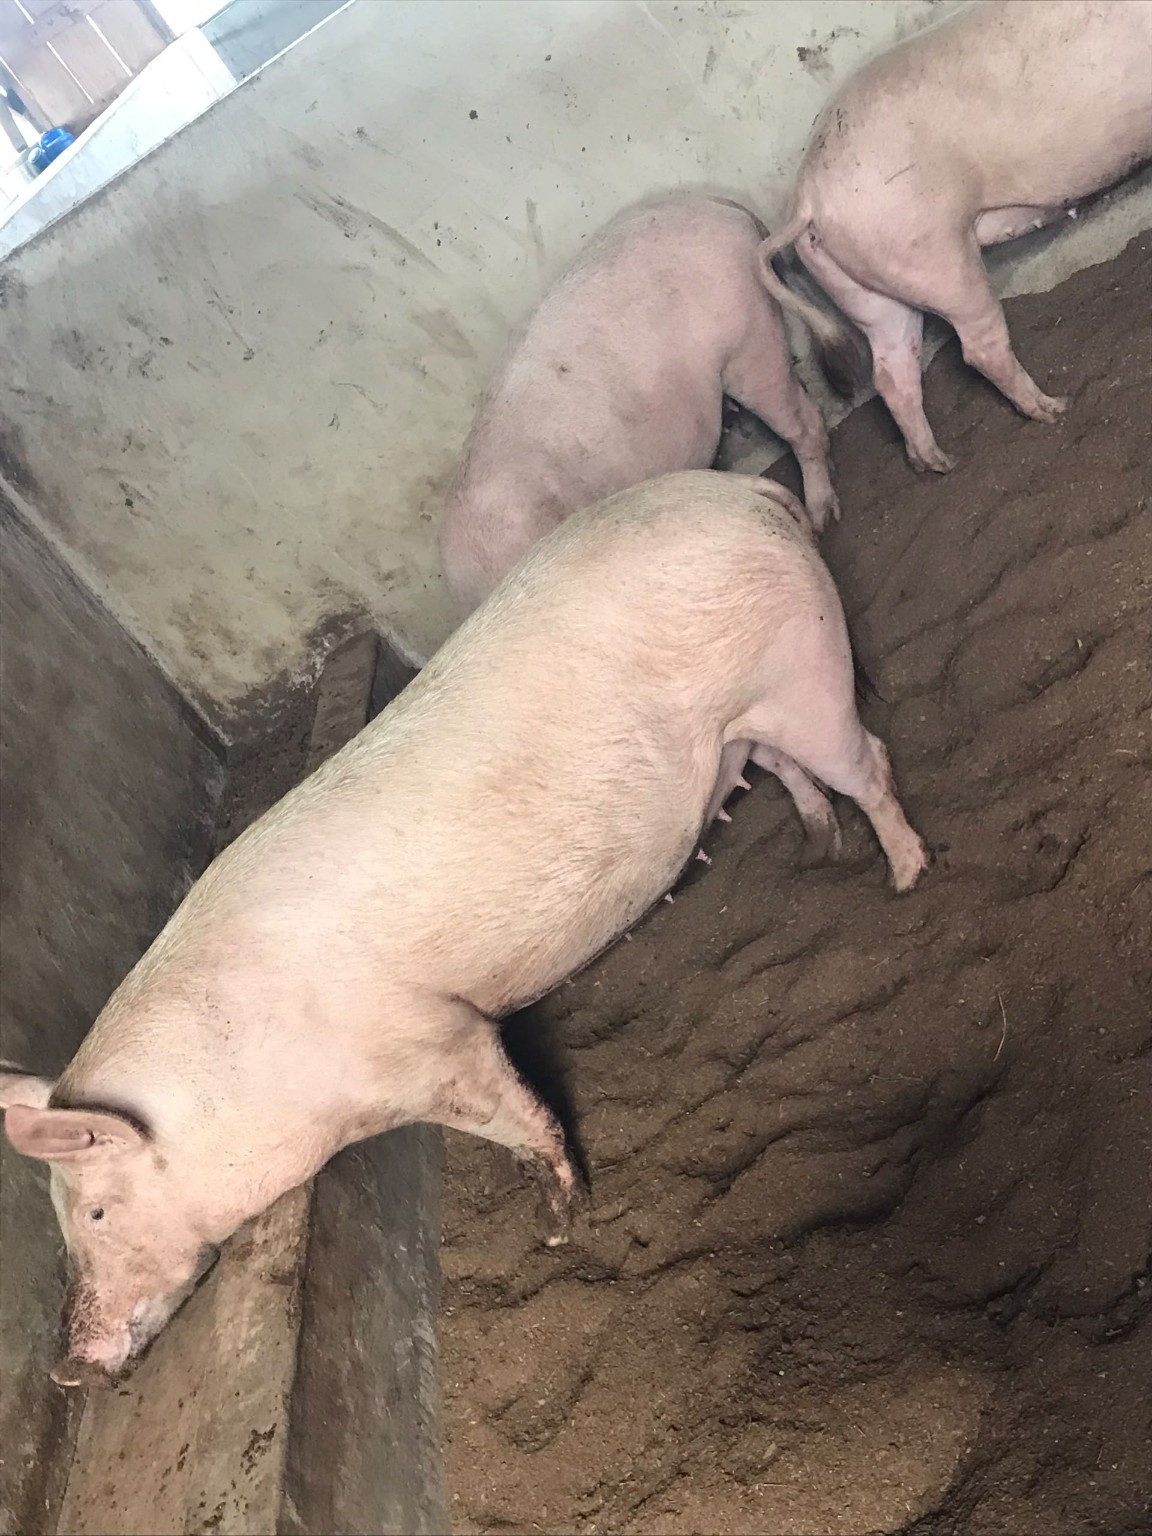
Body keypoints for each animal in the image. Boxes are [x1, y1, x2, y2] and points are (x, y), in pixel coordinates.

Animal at [1, 471, 926, 1386]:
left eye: (96, 1211)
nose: (68, 1371)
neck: (257, 1076)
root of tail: (739, 488)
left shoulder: (436, 1041)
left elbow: (513, 1112)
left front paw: (559, 1223)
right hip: (751, 719)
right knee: (786, 767)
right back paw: (821, 845)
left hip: (804, 667)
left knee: (867, 759)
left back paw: (906, 876)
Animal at [759, 0, 1152, 473]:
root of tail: (807, 198)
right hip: (932, 255)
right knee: (977, 347)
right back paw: (1055, 408)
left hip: (865, 286)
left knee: (891, 369)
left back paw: (938, 463)